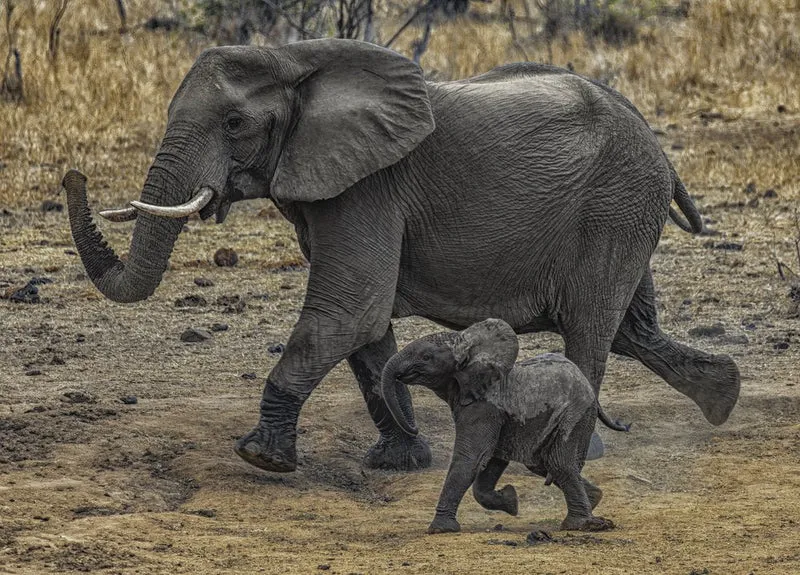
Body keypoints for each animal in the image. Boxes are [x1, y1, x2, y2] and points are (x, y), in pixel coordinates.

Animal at [61, 38, 741, 475]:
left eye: (233, 124)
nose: (73, 174)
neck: (296, 59)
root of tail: (656, 141)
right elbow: (366, 328)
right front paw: (402, 459)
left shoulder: (368, 188)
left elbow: (348, 311)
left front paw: (261, 458)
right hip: (622, 216)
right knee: (632, 327)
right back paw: (722, 397)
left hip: (616, 208)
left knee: (592, 327)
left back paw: (571, 454)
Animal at [381, 318, 613, 534]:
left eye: (426, 357)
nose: (415, 428)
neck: (467, 345)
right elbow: (490, 462)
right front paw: (511, 502)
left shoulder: (483, 407)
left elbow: (471, 457)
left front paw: (440, 529)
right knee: (543, 464)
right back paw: (594, 500)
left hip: (575, 413)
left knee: (558, 463)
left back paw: (580, 524)